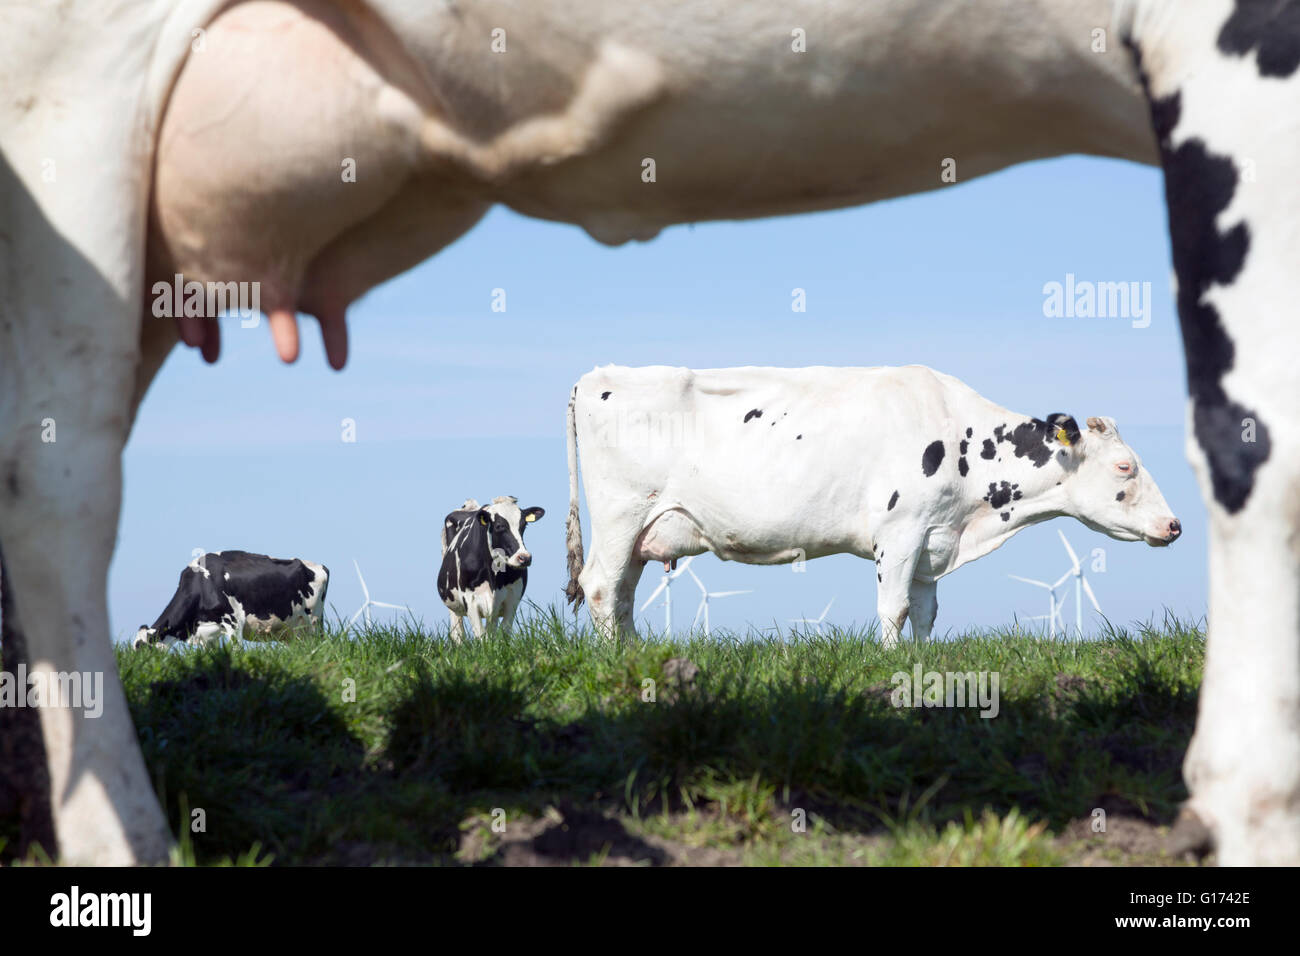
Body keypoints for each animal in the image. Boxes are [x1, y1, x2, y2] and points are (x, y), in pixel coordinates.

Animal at [132, 551, 330, 649]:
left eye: (142, 647)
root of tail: (320, 566)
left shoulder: (233, 622)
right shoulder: (206, 633)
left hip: (313, 620)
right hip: (294, 630)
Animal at [437, 497, 544, 641]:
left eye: (524, 526)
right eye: (499, 526)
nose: (524, 558)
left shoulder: (512, 598)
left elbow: (503, 634)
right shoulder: (469, 600)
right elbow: (481, 637)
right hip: (452, 602)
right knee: (458, 633)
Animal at [562, 365, 1180, 646]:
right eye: (1125, 467)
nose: (1174, 525)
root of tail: (597, 375)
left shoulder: (933, 539)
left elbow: (927, 611)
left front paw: (924, 659)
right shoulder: (900, 531)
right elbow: (894, 608)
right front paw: (889, 662)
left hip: (643, 529)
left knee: (622, 591)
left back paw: (633, 653)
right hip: (621, 514)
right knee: (601, 584)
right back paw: (616, 657)